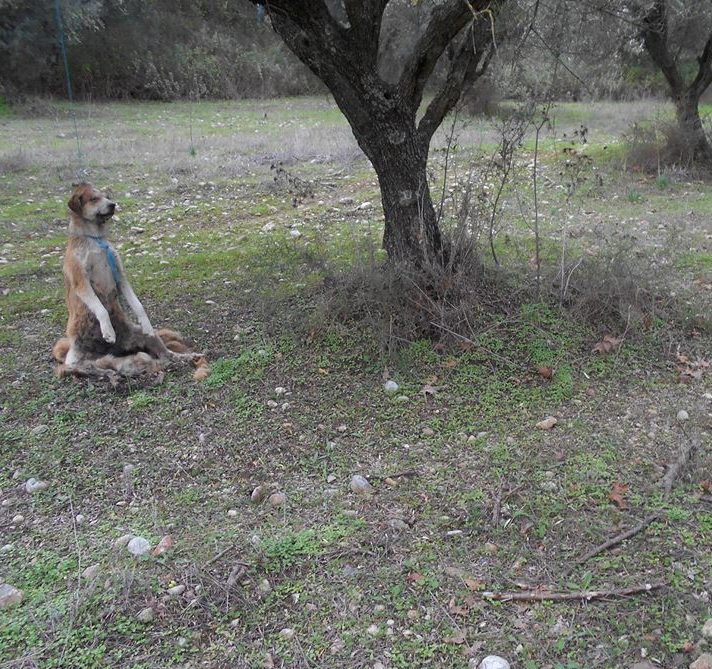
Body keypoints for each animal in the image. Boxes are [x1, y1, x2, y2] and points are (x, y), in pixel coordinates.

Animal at [52, 181, 209, 380]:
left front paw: (146, 322)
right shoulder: (81, 281)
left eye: (107, 196)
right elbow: (101, 309)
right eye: (94, 198)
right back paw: (110, 373)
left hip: (142, 336)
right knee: (87, 369)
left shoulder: (120, 276)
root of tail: (109, 351)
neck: (96, 239)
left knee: (167, 354)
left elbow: (138, 305)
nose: (113, 205)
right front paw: (108, 331)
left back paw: (185, 356)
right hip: (77, 361)